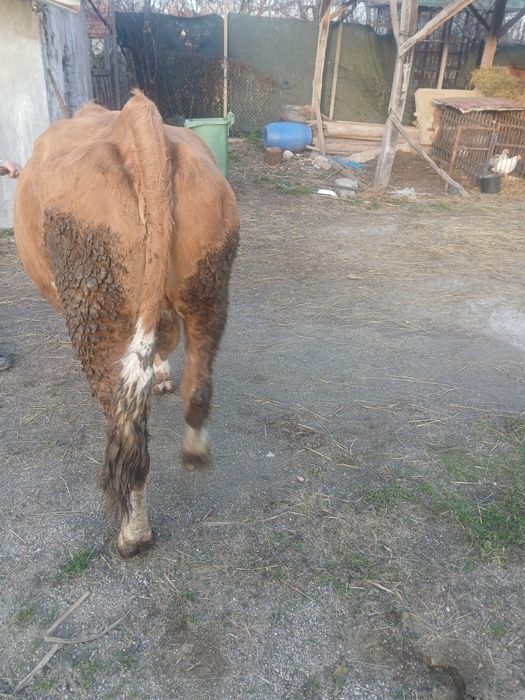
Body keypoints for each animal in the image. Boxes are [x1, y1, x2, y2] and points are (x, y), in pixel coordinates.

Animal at [14, 91, 239, 558]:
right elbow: (162, 343)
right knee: (198, 387)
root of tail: (136, 119)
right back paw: (194, 451)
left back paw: (133, 535)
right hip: (208, 284)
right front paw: (162, 376)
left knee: (128, 437)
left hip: (95, 308)